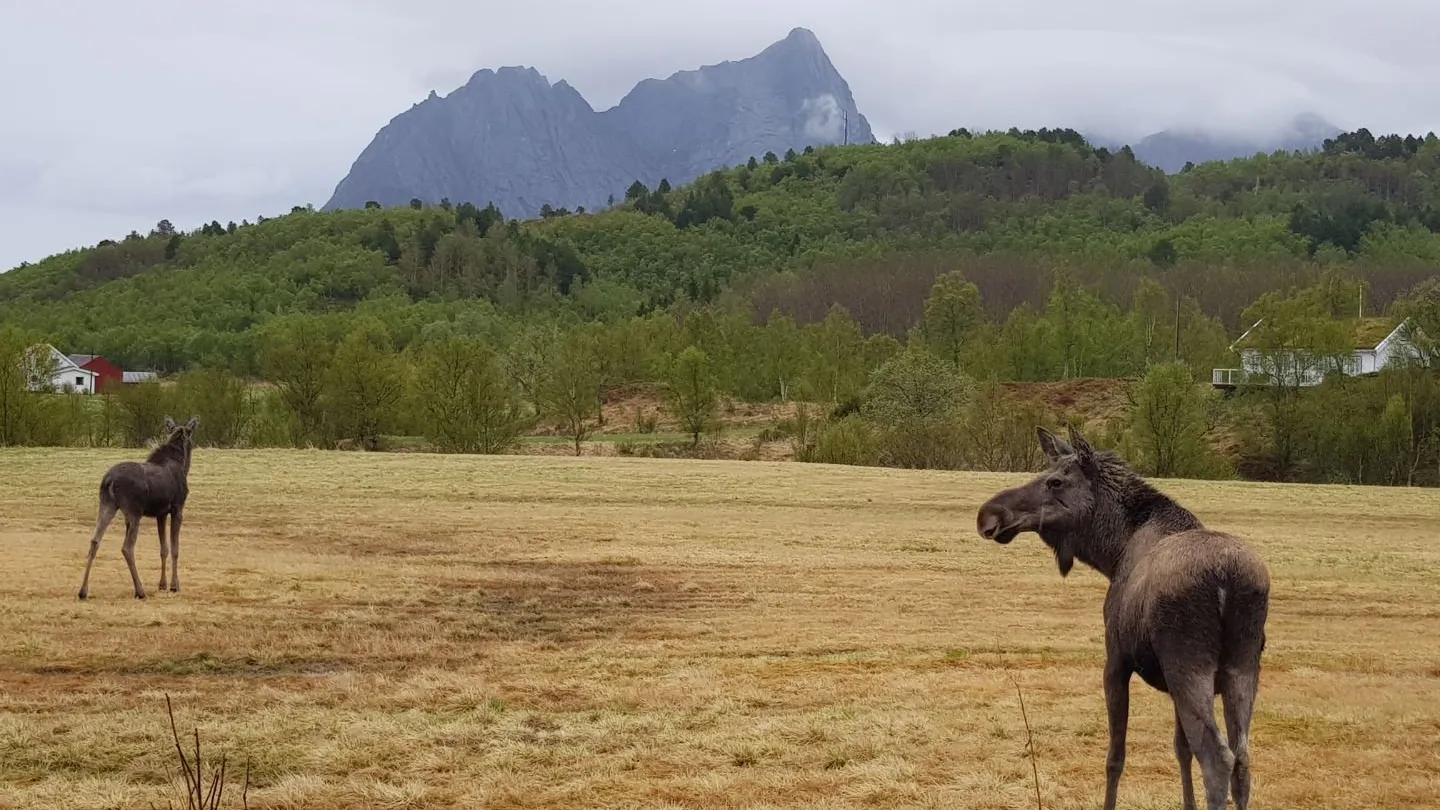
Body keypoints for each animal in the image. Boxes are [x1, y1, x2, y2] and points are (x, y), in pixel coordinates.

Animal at [78, 415, 200, 599]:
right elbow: (175, 549)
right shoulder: (177, 508)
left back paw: (83, 591)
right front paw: (174, 585)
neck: (183, 464)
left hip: (107, 505)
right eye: (191, 432)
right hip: (134, 511)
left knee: (94, 541)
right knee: (127, 548)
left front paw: (162, 584)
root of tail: (109, 480)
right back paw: (140, 590)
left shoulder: (161, 513)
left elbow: (163, 548)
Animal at [973, 423, 1267, 807]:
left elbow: (1116, 757)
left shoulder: (1115, 661)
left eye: (1055, 481)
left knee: (1218, 759)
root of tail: (1227, 580)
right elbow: (1180, 748)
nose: (989, 513)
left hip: (1188, 663)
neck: (1111, 553)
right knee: (1243, 760)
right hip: (1243, 666)